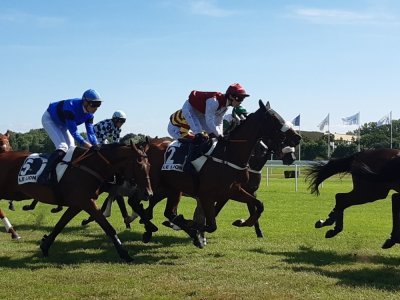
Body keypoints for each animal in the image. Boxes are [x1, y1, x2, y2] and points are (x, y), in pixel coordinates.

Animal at [0, 142, 152, 262]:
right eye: (139, 165)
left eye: (149, 165)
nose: (148, 193)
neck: (91, 166)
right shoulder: (86, 202)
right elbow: (108, 227)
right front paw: (125, 254)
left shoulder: (78, 204)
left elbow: (60, 224)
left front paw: (45, 246)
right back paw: (13, 231)